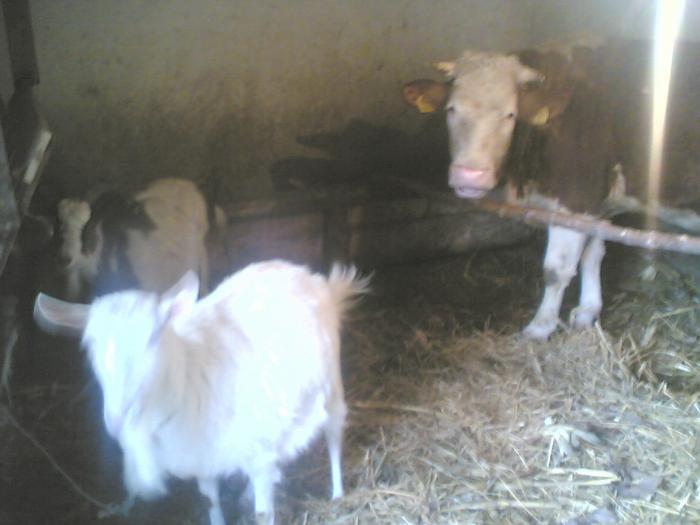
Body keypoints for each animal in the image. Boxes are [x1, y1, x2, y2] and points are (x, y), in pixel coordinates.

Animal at [404, 38, 700, 339]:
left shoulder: (575, 199)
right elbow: (592, 256)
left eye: (510, 114)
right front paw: (587, 311)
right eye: (451, 109)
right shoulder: (595, 206)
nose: (471, 175)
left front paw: (539, 328)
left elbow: (556, 270)